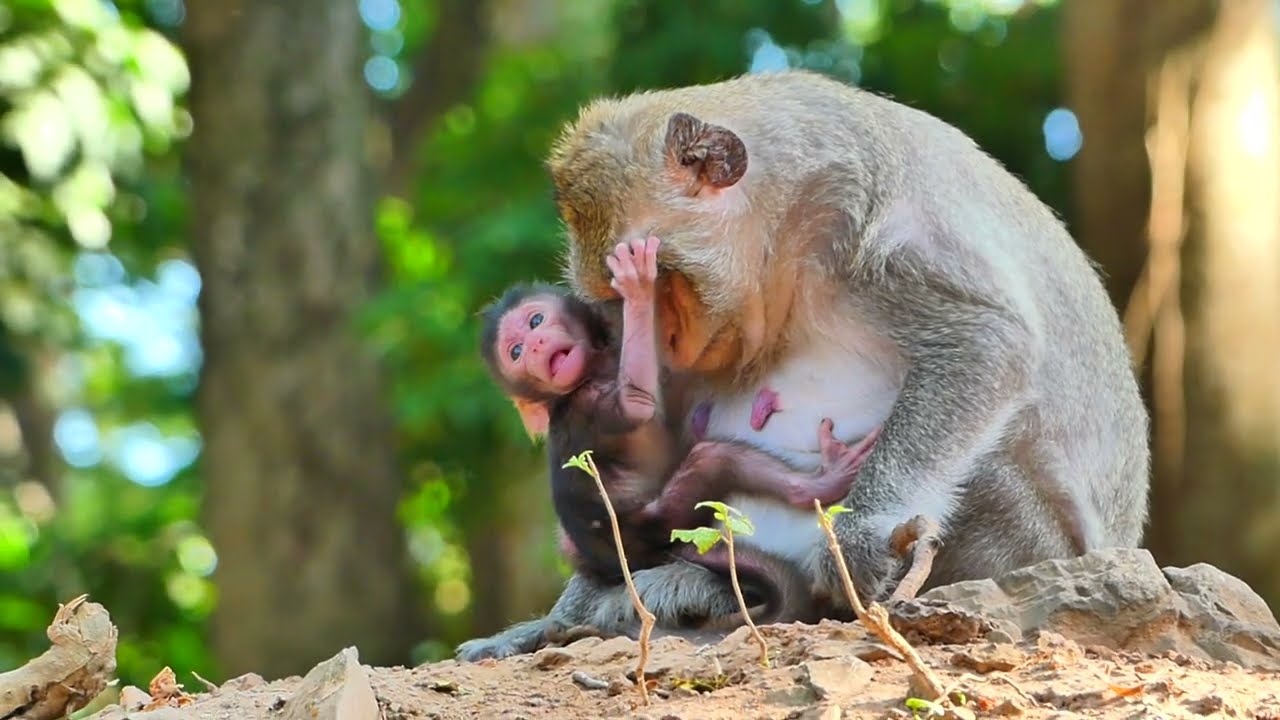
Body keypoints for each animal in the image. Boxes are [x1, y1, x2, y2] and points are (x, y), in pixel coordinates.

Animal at [476, 235, 876, 628]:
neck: (589, 374)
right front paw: (636, 288)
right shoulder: (590, 403)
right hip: (658, 522)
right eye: (515, 352)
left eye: (536, 320)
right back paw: (821, 483)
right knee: (712, 460)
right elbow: (636, 403)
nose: (535, 346)